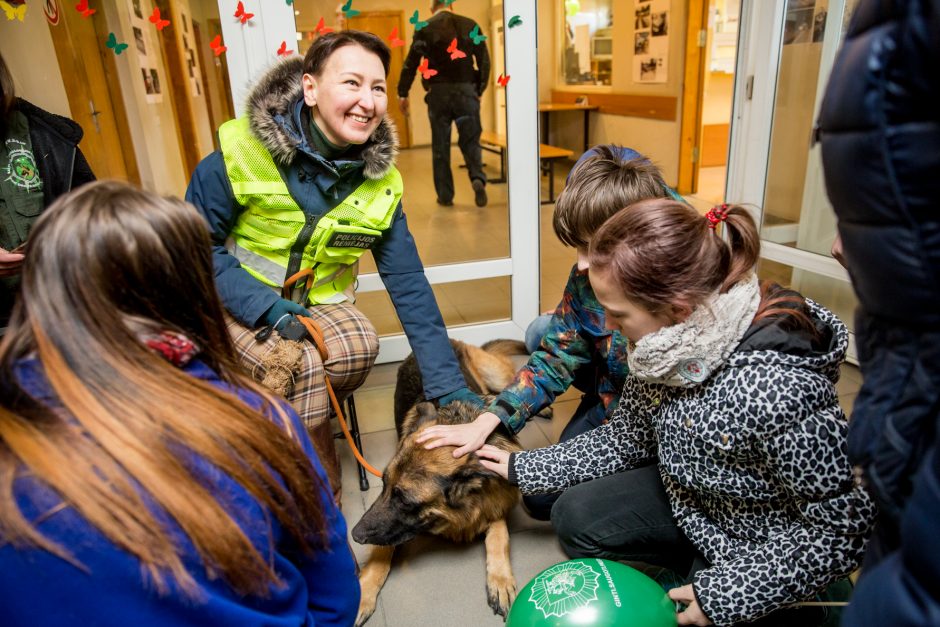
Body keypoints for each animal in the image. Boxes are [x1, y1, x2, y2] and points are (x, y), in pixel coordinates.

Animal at [352, 344, 532, 627]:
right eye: (383, 485)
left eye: (405, 501)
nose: (354, 535)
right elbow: (382, 548)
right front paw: (364, 590)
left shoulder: (496, 501)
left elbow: (499, 536)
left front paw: (501, 580)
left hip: (497, 378)